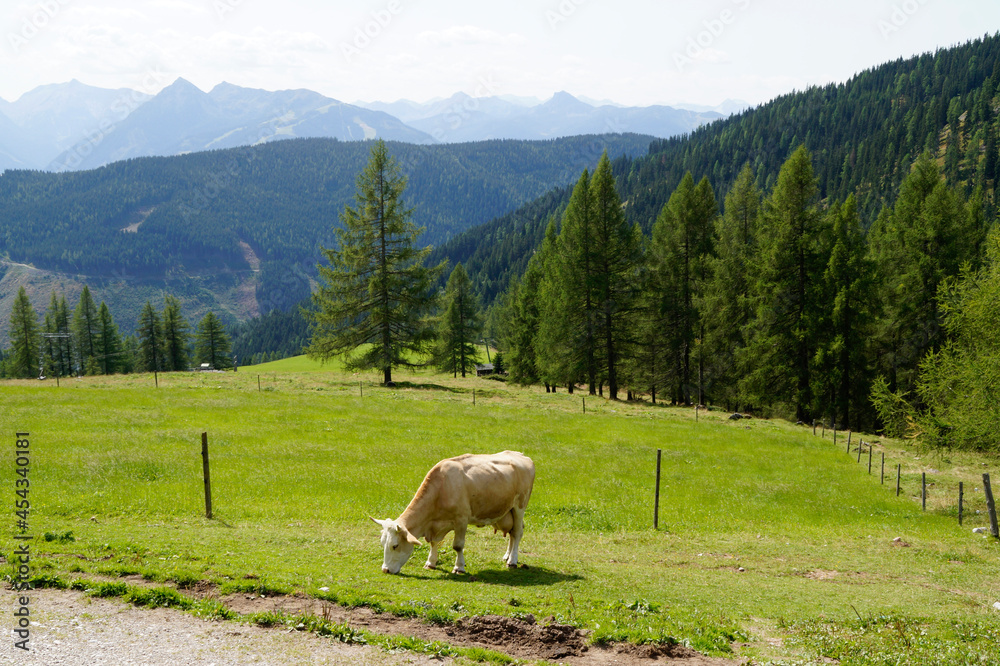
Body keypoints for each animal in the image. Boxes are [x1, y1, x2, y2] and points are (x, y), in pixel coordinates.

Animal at [371, 451, 535, 575]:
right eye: (382, 543)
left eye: (395, 545)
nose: (385, 570)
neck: (441, 488)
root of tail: (521, 455)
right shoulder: (435, 525)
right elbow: (434, 542)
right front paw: (431, 562)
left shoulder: (461, 519)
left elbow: (458, 545)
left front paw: (459, 567)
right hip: (508, 511)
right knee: (512, 533)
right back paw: (507, 556)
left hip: (519, 507)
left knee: (517, 532)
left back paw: (512, 560)